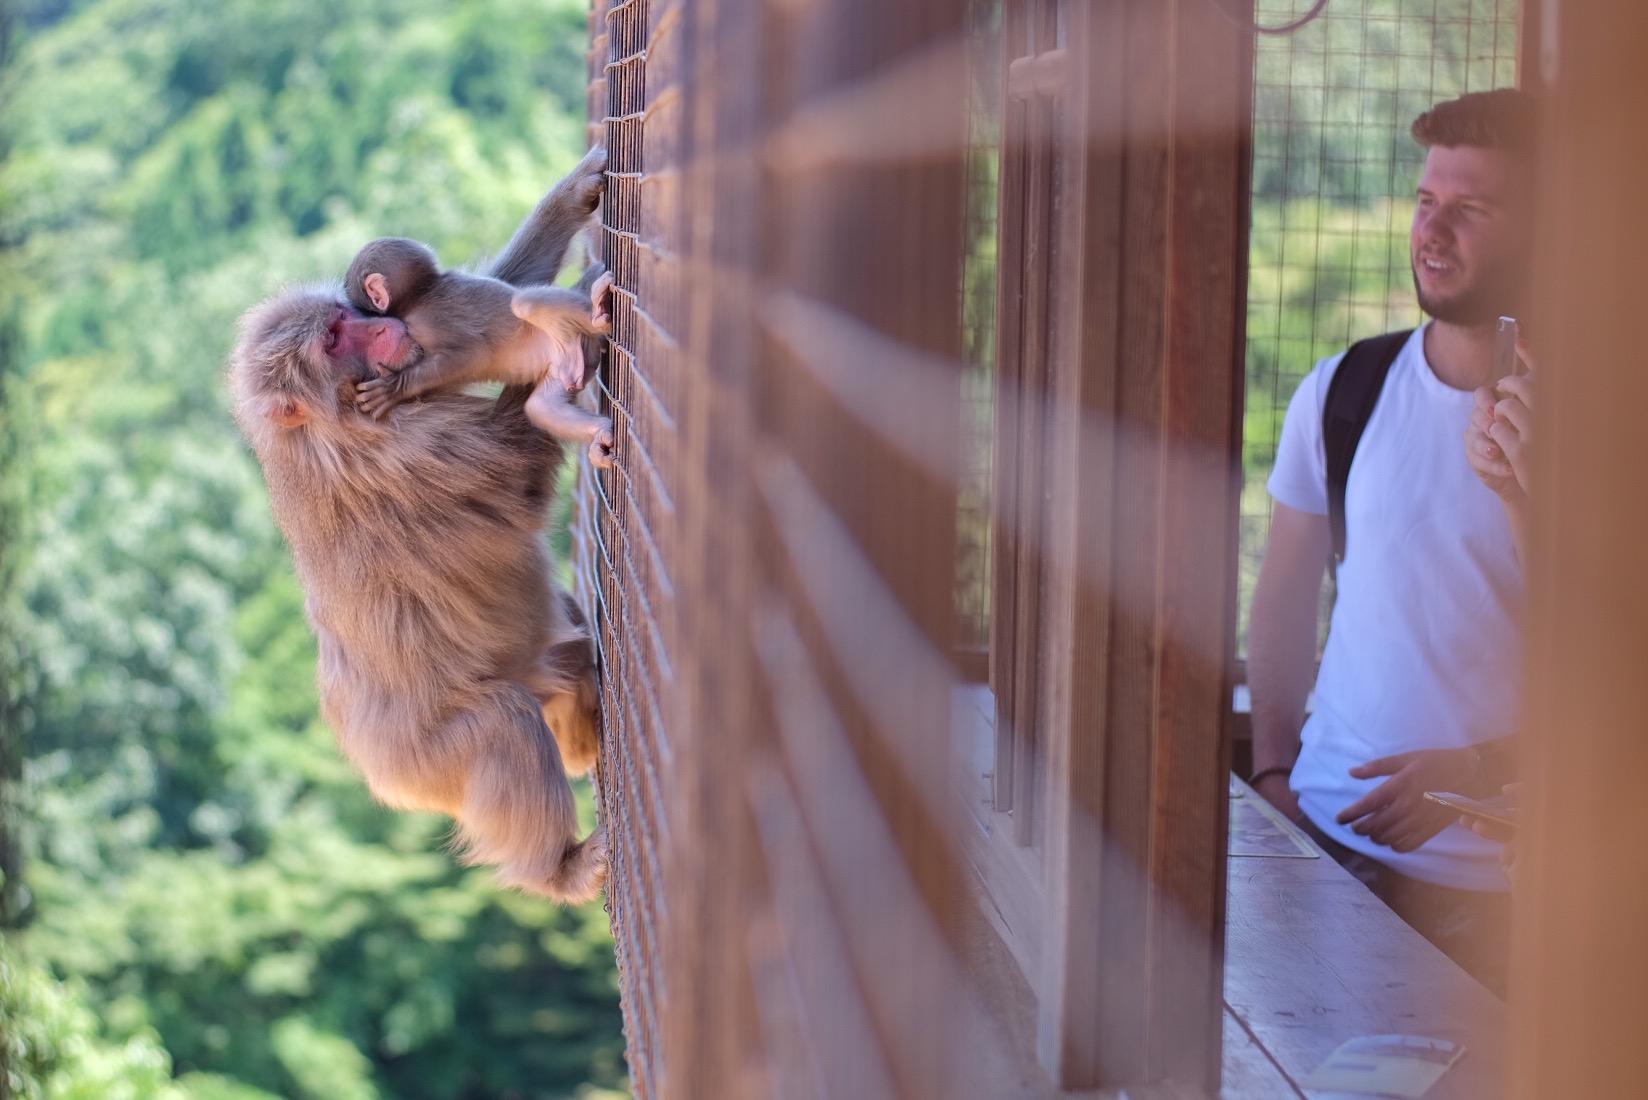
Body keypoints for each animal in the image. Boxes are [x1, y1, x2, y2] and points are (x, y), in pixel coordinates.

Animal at [346, 234, 618, 469]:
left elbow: (470, 354)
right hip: (565, 368)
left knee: (524, 302)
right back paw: (599, 432)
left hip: (570, 337)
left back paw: (595, 317)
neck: (420, 295)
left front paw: (394, 388)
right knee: (540, 407)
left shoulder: (427, 321)